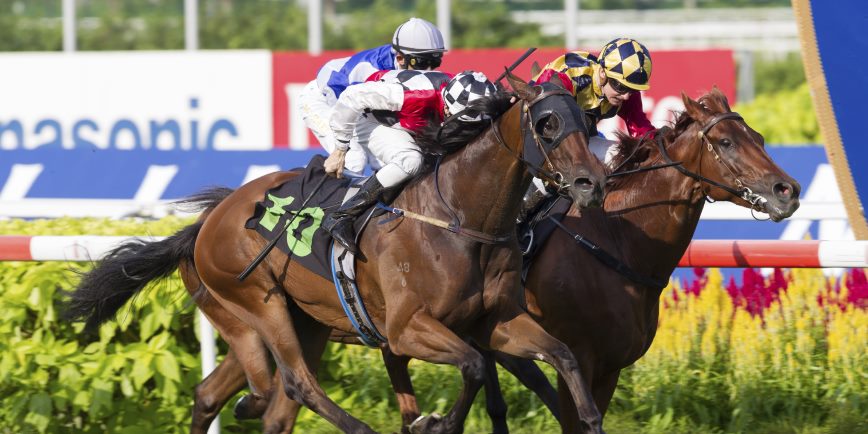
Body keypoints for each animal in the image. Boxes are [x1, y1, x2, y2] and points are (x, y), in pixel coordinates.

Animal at [63, 72, 609, 434]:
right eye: (547, 123)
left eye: (586, 122)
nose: (590, 183)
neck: (461, 219)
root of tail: (206, 223)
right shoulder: (407, 329)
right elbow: (474, 368)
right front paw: (431, 422)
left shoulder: (497, 320)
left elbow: (563, 356)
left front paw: (587, 417)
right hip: (259, 303)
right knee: (295, 385)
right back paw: (350, 425)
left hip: (289, 321)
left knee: (224, 394)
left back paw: (244, 405)